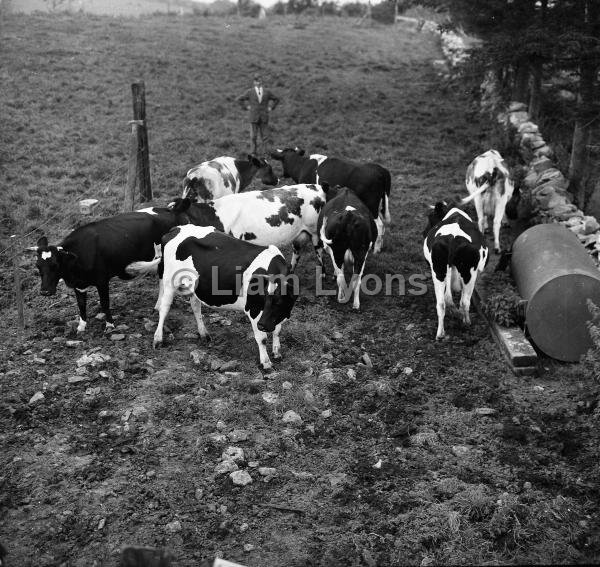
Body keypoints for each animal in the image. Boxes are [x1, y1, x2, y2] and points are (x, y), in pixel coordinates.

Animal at [27, 203, 190, 332]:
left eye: (55, 265)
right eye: (37, 266)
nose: (44, 291)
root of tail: (173, 210)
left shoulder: (102, 280)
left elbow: (105, 303)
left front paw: (110, 325)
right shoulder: (79, 285)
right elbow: (81, 304)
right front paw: (81, 327)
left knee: (164, 280)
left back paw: (160, 305)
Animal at [422, 202, 488, 340]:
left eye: (430, 217)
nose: (423, 232)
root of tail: (452, 238)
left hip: (438, 271)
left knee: (441, 303)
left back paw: (440, 334)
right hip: (469, 273)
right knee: (465, 301)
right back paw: (466, 322)